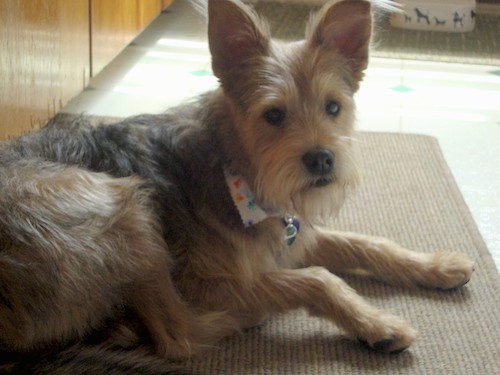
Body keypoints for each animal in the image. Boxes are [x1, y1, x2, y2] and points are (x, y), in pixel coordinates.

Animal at [0, 1, 474, 374]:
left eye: (333, 107)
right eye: (274, 115)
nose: (322, 159)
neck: (235, 170)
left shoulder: (293, 240)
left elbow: (367, 243)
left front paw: (436, 265)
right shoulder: (205, 280)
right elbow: (318, 279)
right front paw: (378, 323)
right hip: (122, 206)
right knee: (180, 335)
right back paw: (240, 317)